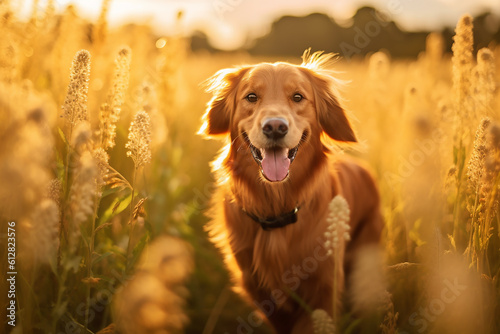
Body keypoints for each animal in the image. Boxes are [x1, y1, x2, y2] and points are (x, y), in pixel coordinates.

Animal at [199, 50, 382, 334]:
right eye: (251, 97)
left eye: (298, 97)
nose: (275, 127)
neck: (277, 211)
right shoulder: (259, 289)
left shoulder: (324, 286)